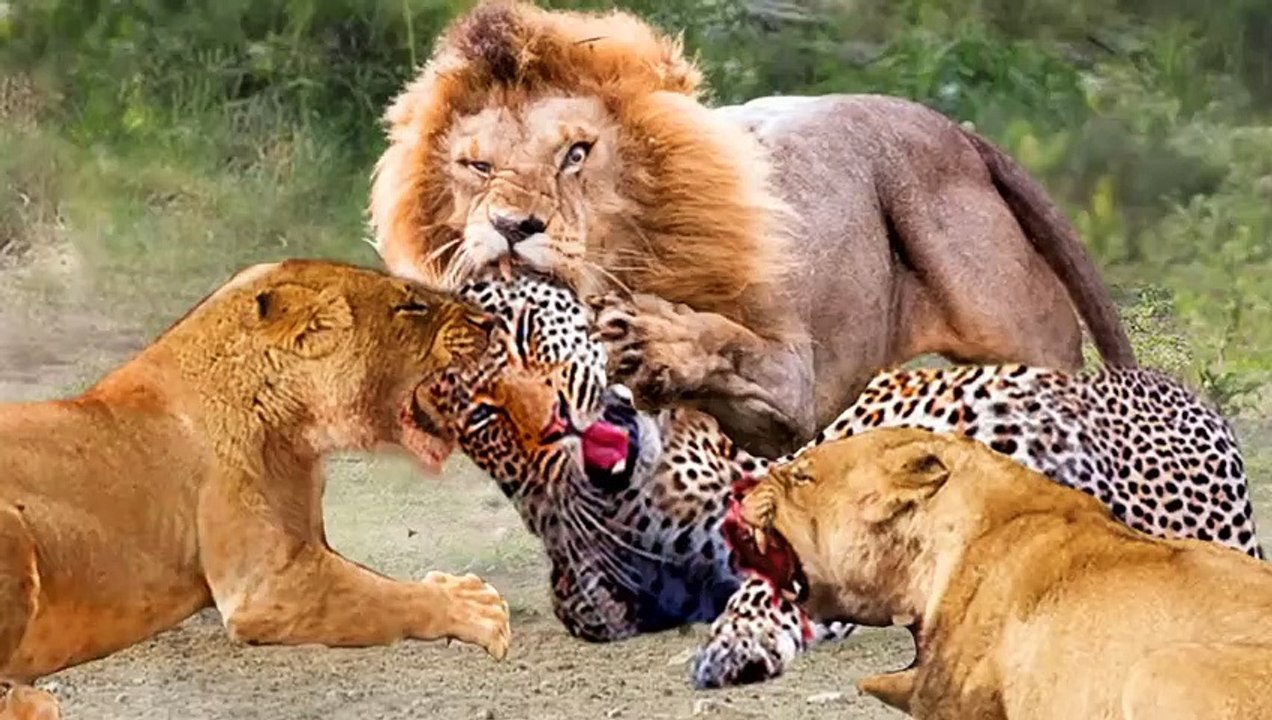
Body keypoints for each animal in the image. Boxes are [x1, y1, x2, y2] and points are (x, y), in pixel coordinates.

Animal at [0, 259, 511, 718]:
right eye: (412, 305)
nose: (491, 321)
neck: (297, 431)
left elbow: (374, 581)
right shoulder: (263, 586)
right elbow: (387, 596)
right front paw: (475, 606)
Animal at [368, 0, 1137, 457]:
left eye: (576, 154)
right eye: (477, 166)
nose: (511, 225)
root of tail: (957, 131)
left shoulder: (792, 388)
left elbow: (723, 341)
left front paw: (653, 338)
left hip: (1023, 340)